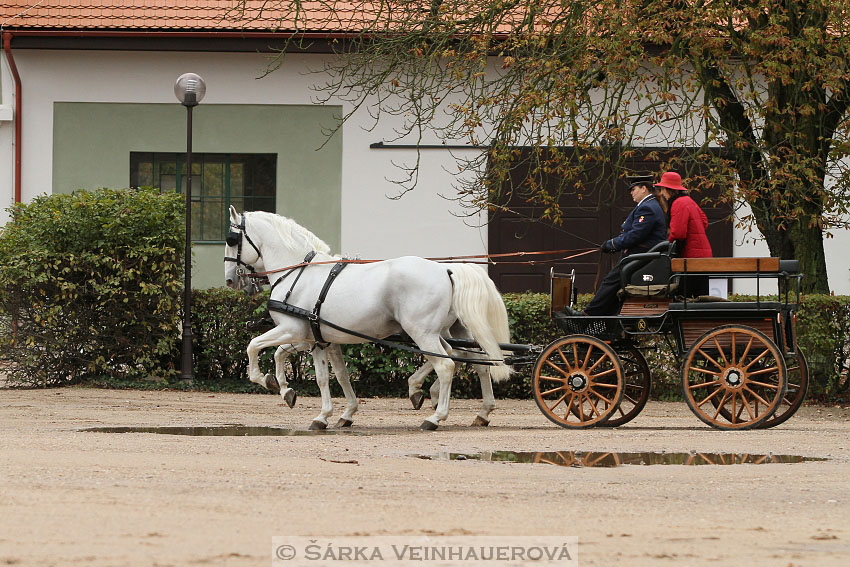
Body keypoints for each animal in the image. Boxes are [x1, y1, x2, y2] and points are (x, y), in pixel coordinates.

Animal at [220, 209, 510, 430]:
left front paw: (267, 380)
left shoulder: (292, 330)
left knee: (447, 364)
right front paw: (330, 414)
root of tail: (446, 269)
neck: (298, 272)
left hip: (422, 333)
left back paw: (435, 416)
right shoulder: (319, 340)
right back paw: (477, 410)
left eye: (231, 239)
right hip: (448, 331)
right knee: (474, 361)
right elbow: (332, 376)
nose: (231, 280)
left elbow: (254, 346)